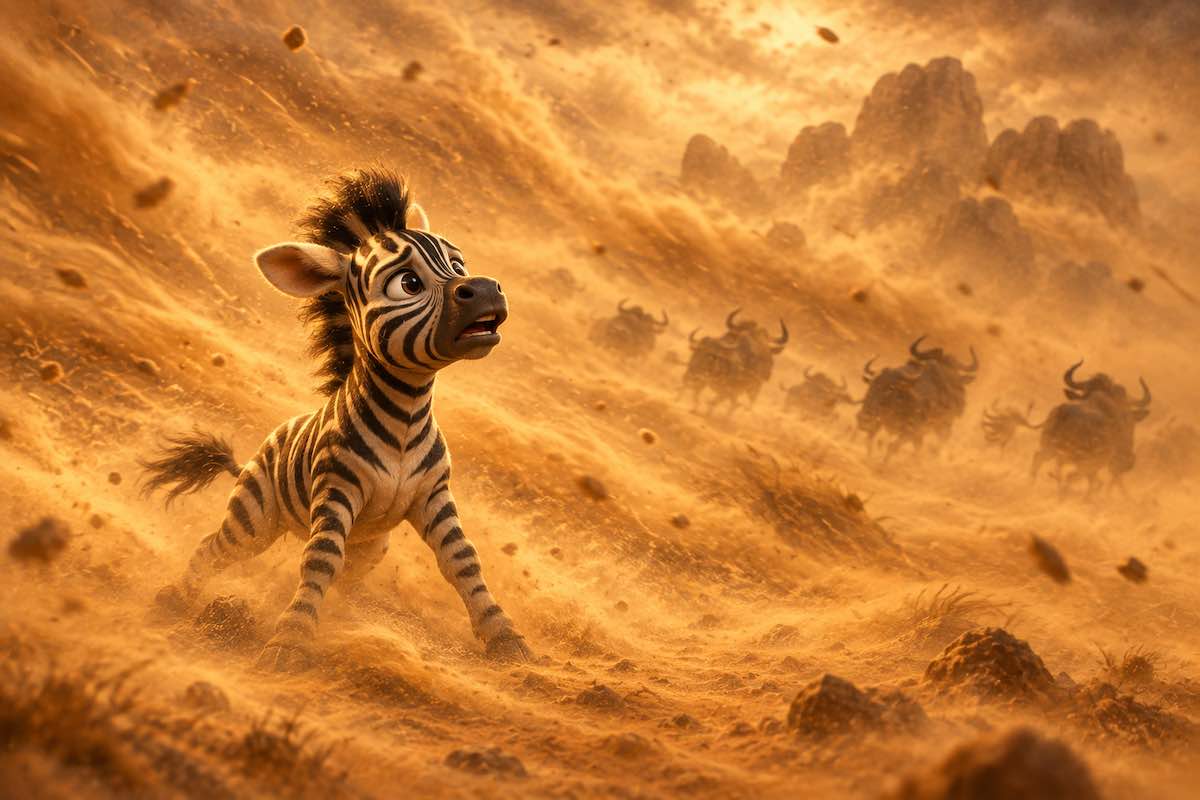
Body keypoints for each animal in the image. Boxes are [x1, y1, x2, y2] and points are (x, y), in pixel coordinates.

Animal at [142, 168, 531, 671]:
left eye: (458, 265)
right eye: (407, 283)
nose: (486, 289)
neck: (406, 417)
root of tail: (252, 455)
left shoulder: (434, 495)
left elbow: (463, 562)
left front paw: (505, 640)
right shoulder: (335, 490)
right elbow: (320, 561)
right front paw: (287, 645)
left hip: (371, 545)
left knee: (347, 574)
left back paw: (342, 620)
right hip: (254, 519)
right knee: (216, 547)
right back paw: (175, 598)